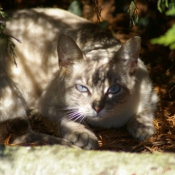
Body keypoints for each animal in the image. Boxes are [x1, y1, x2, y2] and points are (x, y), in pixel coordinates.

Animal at [0, 8, 158, 149]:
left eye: (114, 89)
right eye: (82, 88)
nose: (97, 108)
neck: (106, 122)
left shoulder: (151, 96)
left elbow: (145, 111)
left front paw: (142, 128)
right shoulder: (48, 104)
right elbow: (69, 116)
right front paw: (85, 136)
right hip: (12, 95)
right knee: (21, 137)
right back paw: (67, 145)